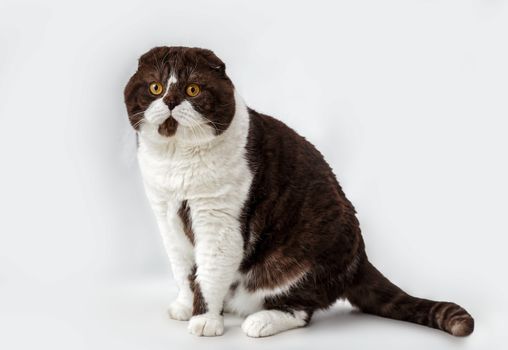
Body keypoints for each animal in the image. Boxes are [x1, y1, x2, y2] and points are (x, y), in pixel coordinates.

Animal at [123, 45, 472, 336]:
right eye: (155, 87)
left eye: (192, 90)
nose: (170, 101)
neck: (176, 162)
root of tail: (360, 259)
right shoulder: (167, 217)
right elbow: (183, 269)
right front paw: (185, 306)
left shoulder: (218, 223)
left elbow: (207, 274)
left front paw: (205, 320)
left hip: (302, 258)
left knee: (301, 310)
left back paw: (260, 321)